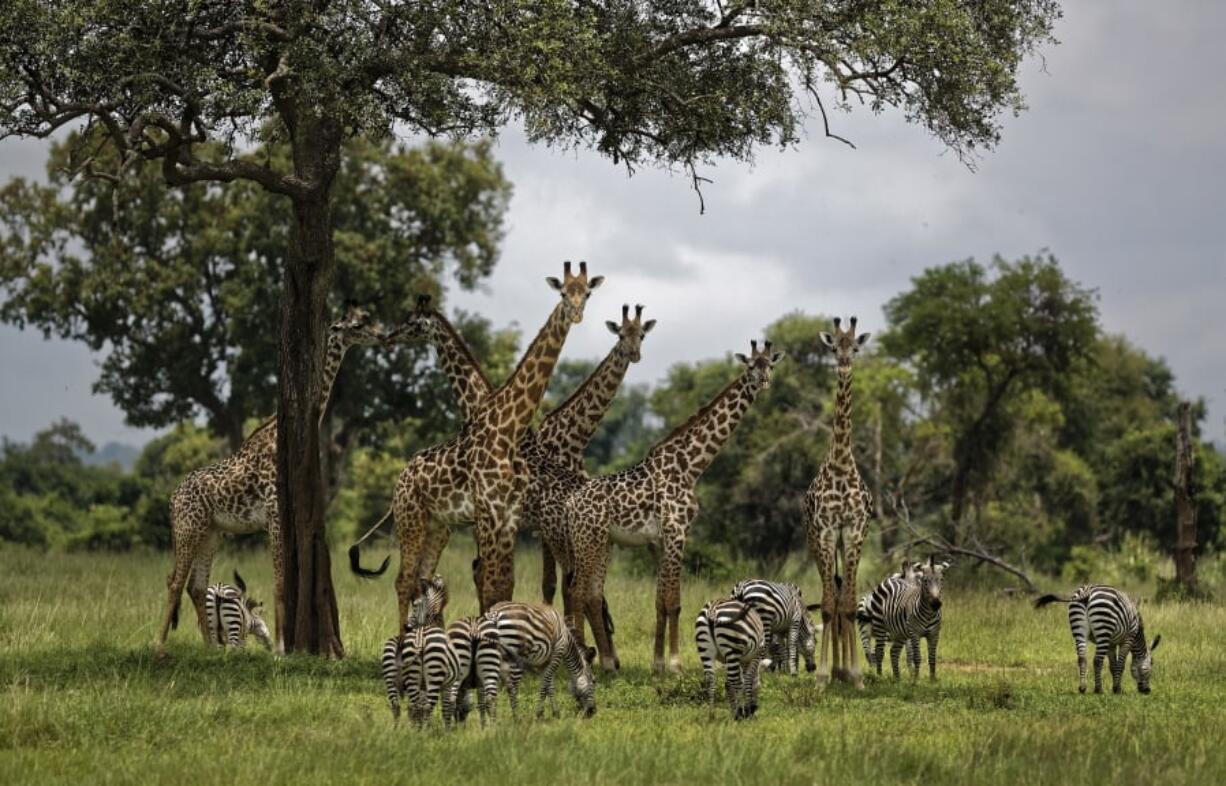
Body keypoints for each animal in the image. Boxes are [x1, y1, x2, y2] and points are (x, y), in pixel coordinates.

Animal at [154, 304, 382, 652]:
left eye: (368, 317)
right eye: (356, 324)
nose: (382, 335)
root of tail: (172, 498)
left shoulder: (278, 518)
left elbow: (281, 582)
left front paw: (281, 645)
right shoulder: (274, 514)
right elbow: (278, 583)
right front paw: (281, 649)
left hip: (212, 532)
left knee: (196, 584)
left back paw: (211, 647)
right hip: (187, 527)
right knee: (174, 580)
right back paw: (159, 644)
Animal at [350, 259, 603, 622]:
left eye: (587, 293)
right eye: (563, 293)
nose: (388, 336)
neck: (505, 424)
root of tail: (401, 479)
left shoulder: (505, 515)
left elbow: (499, 585)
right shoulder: (487, 514)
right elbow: (490, 583)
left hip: (446, 525)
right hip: (415, 518)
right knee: (406, 580)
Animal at [561, 340, 779, 671]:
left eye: (771, 365)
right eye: (751, 366)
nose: (764, 382)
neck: (691, 466)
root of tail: (571, 504)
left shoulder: (662, 539)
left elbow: (662, 600)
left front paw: (659, 663)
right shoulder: (677, 532)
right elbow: (674, 601)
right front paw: (675, 664)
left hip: (602, 544)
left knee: (592, 596)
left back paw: (608, 662)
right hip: (588, 541)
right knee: (576, 592)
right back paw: (586, 657)